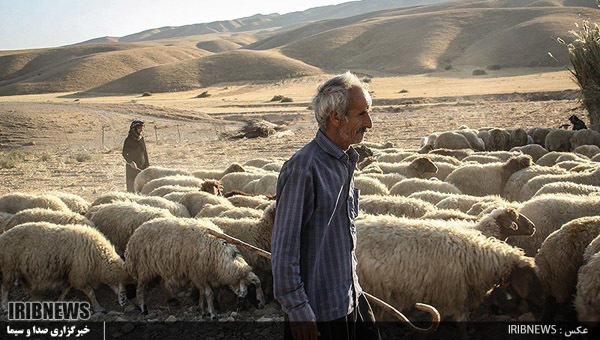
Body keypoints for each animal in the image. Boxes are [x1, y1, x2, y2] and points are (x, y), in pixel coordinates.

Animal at [0, 222, 129, 312]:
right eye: (123, 284)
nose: (124, 300)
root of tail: (3, 236)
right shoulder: (78, 276)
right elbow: (91, 292)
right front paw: (98, 307)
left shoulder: (71, 274)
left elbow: (66, 289)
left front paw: (59, 301)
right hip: (9, 267)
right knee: (5, 288)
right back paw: (5, 306)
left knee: (26, 287)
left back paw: (38, 300)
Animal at [125, 216, 264, 318]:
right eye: (250, 287)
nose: (261, 305)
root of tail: (135, 233)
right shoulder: (198, 273)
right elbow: (208, 293)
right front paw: (212, 314)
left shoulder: (200, 276)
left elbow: (202, 292)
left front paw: (202, 310)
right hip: (144, 267)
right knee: (140, 289)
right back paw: (143, 309)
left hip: (158, 267)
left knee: (162, 284)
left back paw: (172, 300)